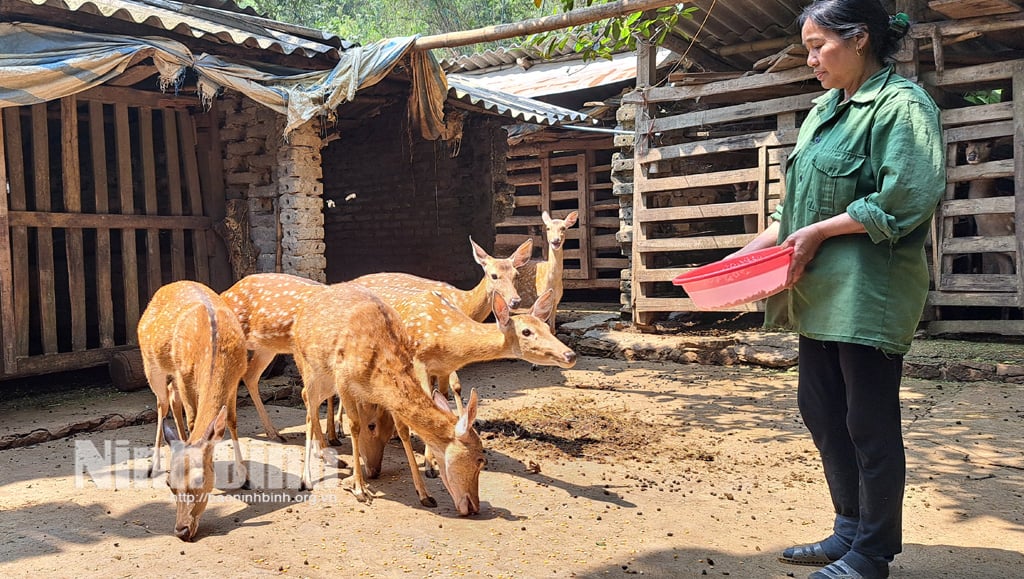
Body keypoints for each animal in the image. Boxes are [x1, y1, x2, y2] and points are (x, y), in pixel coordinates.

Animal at [138, 280, 249, 541]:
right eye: (170, 484)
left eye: (200, 480)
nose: (181, 530)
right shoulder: (184, 376)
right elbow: (192, 421)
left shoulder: (236, 378)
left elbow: (231, 420)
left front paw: (244, 477)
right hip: (152, 367)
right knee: (163, 403)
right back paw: (154, 464)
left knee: (172, 398)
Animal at [290, 282, 485, 514]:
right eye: (481, 459)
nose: (474, 506)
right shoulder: (344, 380)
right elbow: (354, 426)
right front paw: (360, 489)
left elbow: (403, 431)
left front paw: (425, 495)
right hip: (308, 367)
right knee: (308, 406)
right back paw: (306, 479)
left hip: (325, 381)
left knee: (309, 402)